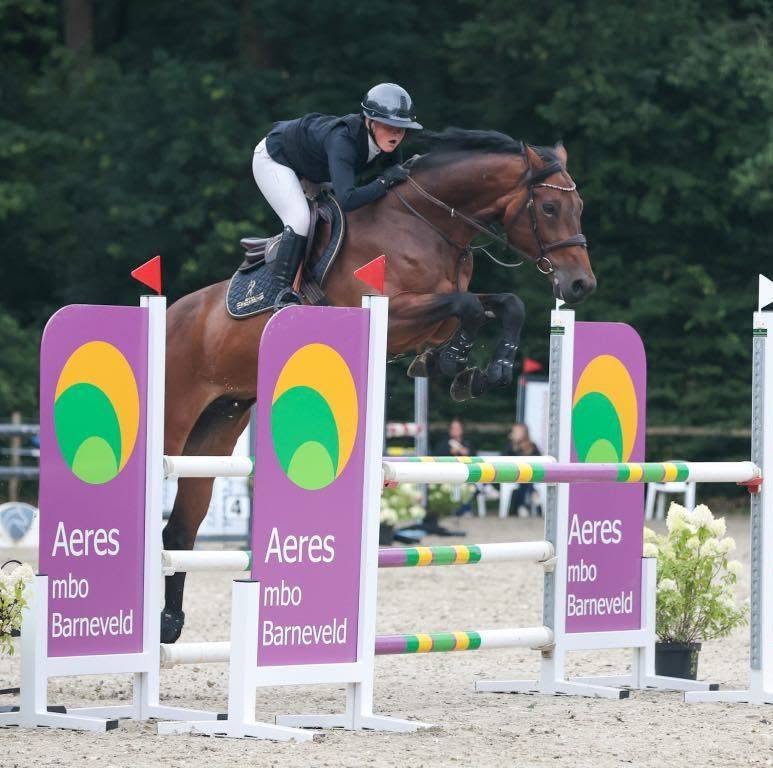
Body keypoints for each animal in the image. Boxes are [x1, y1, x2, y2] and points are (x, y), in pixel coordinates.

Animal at [160, 128, 595, 642]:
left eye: (579, 206)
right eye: (548, 208)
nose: (581, 284)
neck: (428, 226)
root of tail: (171, 315)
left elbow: (505, 303)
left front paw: (481, 369)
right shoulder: (396, 310)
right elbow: (467, 305)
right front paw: (453, 361)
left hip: (216, 427)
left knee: (180, 529)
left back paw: (168, 625)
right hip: (173, 422)